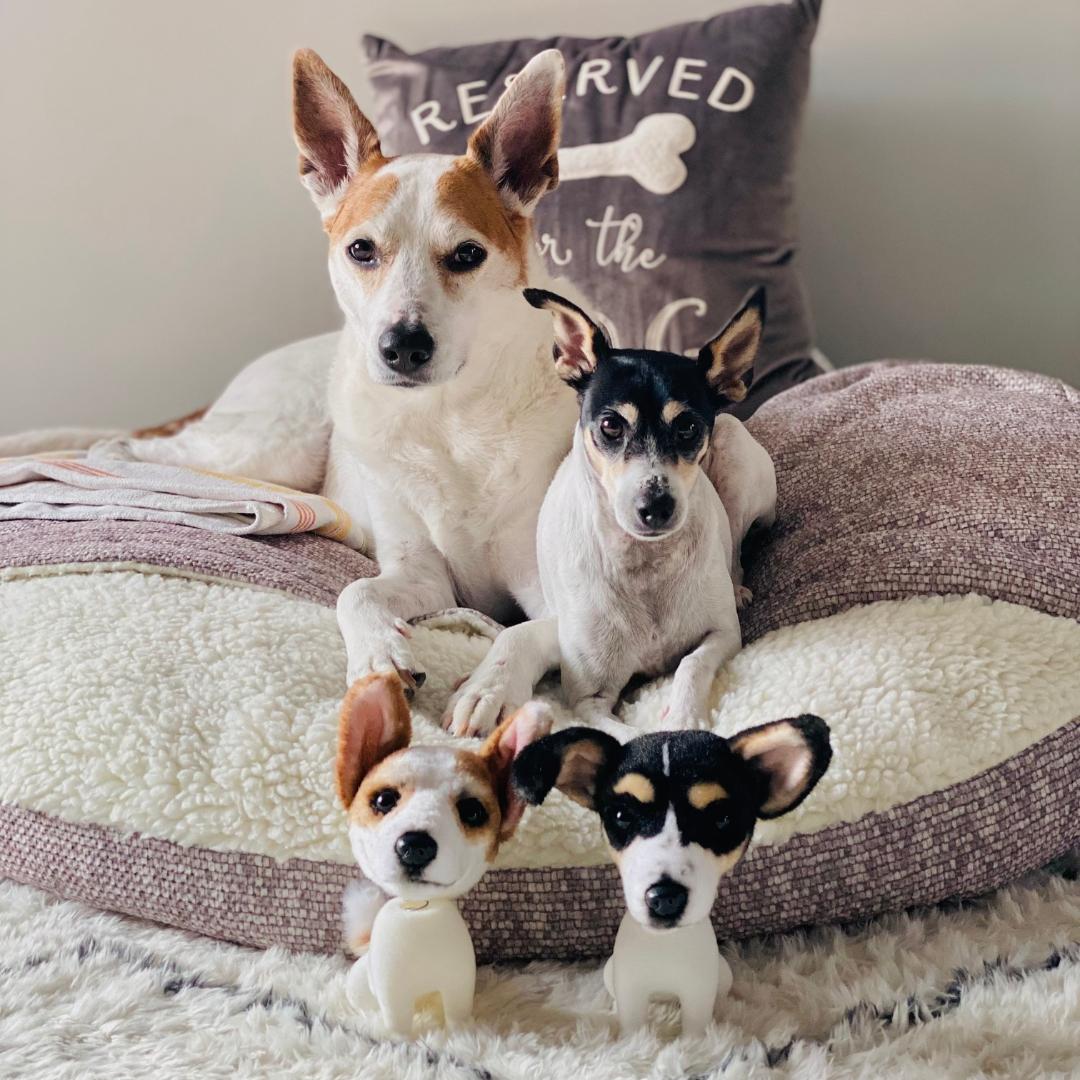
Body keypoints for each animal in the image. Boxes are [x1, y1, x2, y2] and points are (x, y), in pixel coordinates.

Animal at [128, 50, 777, 743]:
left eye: (467, 254)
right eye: (361, 250)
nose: (401, 346)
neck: (447, 419)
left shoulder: (551, 599)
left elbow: (517, 634)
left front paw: (488, 688)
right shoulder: (420, 573)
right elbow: (356, 593)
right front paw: (378, 654)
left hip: (736, 446)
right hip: (272, 445)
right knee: (159, 453)